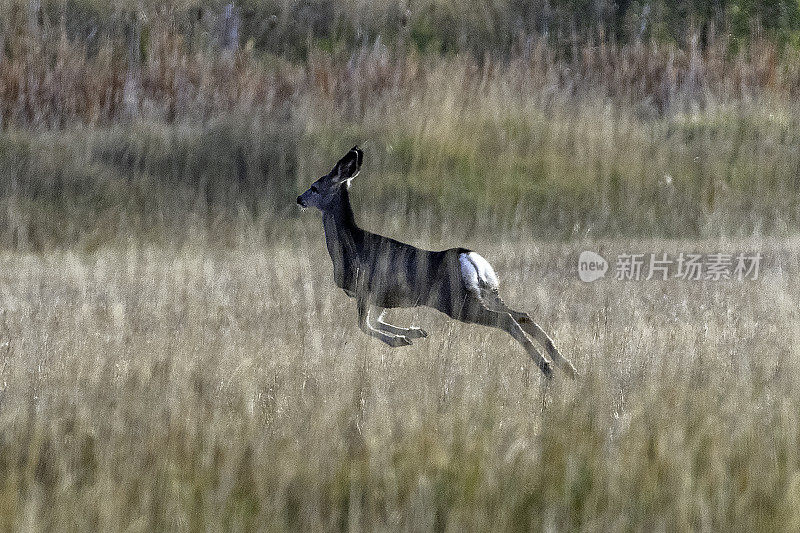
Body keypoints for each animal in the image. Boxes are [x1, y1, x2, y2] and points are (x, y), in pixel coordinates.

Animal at [296, 145, 580, 378]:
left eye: (314, 187)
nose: (299, 199)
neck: (350, 245)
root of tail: (469, 257)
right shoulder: (382, 298)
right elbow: (374, 323)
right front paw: (413, 333)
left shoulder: (366, 289)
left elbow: (364, 326)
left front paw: (400, 340)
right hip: (487, 292)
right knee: (522, 315)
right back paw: (568, 368)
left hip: (457, 302)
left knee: (507, 320)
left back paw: (548, 369)